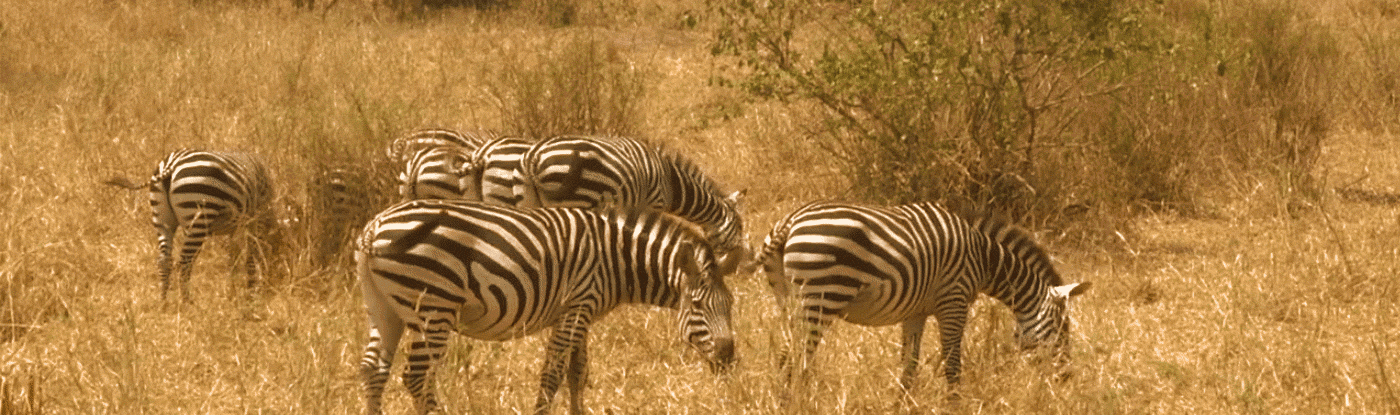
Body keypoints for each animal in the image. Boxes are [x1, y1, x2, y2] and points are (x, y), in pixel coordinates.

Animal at [103, 149, 276, 301]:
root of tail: (171, 165)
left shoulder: (238, 225)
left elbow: (234, 256)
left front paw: (233, 293)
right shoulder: (253, 219)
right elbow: (250, 255)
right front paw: (250, 291)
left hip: (163, 220)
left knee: (164, 260)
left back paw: (163, 302)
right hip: (199, 215)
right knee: (185, 263)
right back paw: (186, 302)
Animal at [357, 200, 736, 415]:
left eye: (730, 304)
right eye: (697, 305)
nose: (729, 356)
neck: (616, 257)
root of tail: (374, 227)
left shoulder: (578, 311)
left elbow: (577, 372)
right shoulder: (578, 305)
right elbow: (553, 374)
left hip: (384, 309)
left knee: (373, 371)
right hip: (434, 306)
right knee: (416, 377)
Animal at [515, 135, 748, 275]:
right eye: (740, 226)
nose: (742, 266)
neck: (671, 182)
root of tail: (534, 157)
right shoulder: (653, 203)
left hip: (526, 199)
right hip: (579, 197)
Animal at [754, 201, 1091, 389]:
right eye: (1063, 329)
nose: (1066, 379)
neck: (984, 259)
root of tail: (789, 222)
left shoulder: (915, 311)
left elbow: (909, 367)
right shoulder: (954, 302)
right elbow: (953, 365)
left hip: (789, 299)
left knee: (787, 357)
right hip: (822, 297)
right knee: (797, 359)